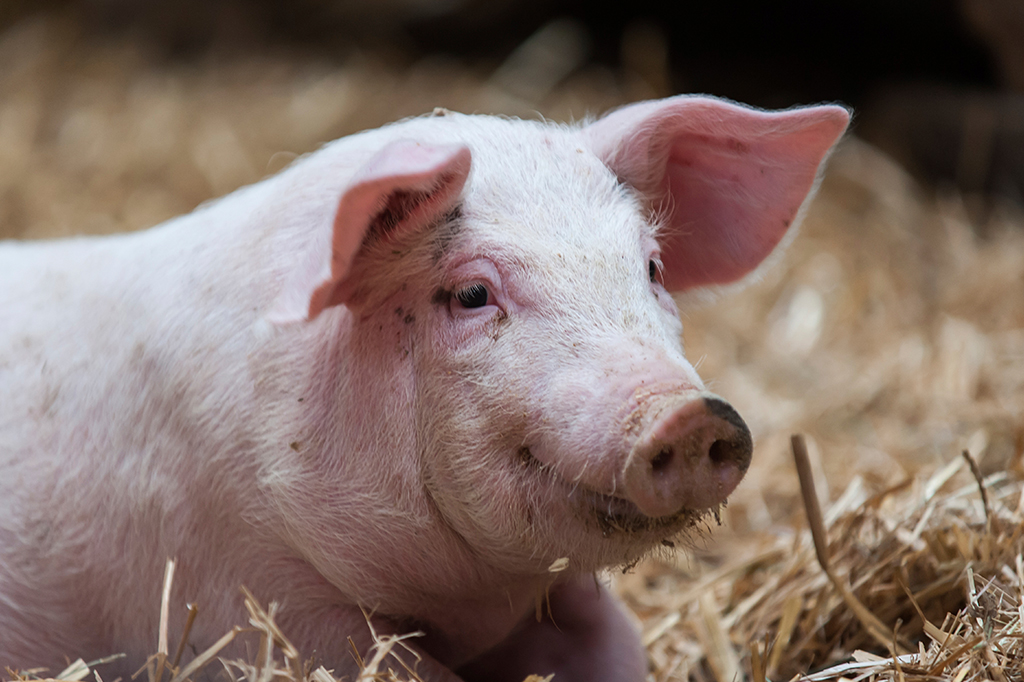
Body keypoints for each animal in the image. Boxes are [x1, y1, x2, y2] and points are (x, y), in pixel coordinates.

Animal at [0, 95, 849, 681]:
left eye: (652, 267)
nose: (689, 415)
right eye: (471, 295)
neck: (468, 604)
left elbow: (617, 646)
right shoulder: (245, 594)